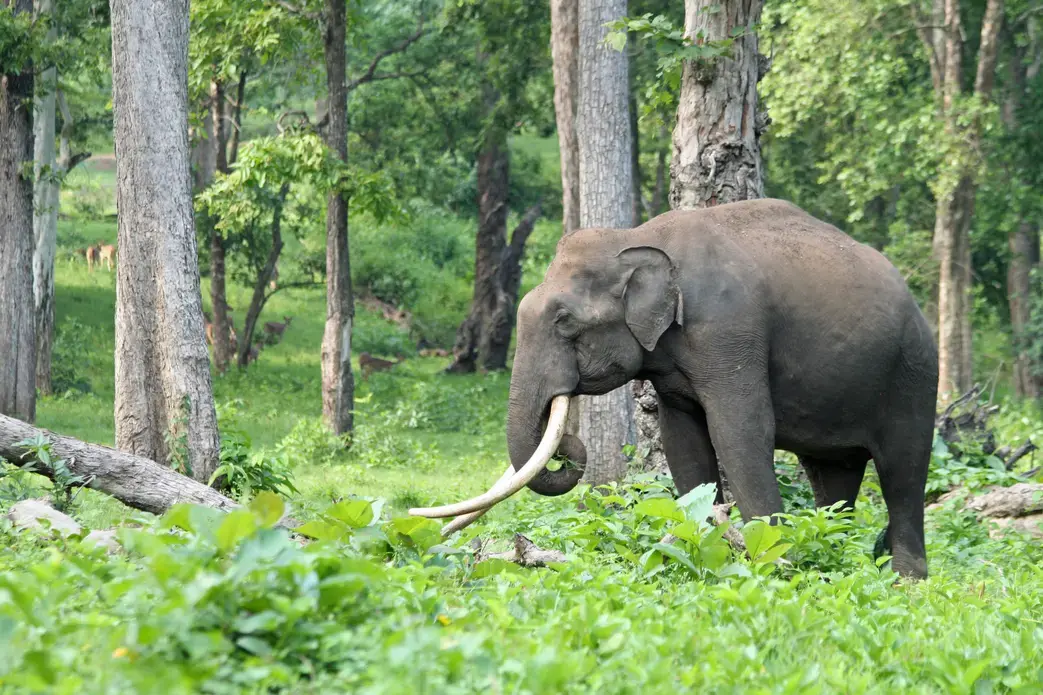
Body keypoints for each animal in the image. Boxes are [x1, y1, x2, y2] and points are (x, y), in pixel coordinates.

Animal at [413, 199, 938, 579]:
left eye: (564, 321)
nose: (567, 447)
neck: (638, 238)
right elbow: (683, 442)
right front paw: (700, 541)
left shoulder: (730, 332)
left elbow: (740, 431)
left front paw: (775, 561)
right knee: (833, 474)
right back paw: (834, 547)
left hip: (914, 373)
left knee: (903, 469)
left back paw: (907, 580)